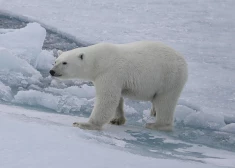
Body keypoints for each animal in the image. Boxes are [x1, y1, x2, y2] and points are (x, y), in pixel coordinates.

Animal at [49, 40, 187, 131]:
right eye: (55, 61)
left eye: (65, 62)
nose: (52, 71)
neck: (98, 61)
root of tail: (183, 60)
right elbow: (117, 99)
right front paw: (117, 120)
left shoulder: (109, 73)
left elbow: (108, 99)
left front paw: (83, 124)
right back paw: (153, 112)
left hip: (169, 78)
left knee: (165, 101)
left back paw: (156, 124)